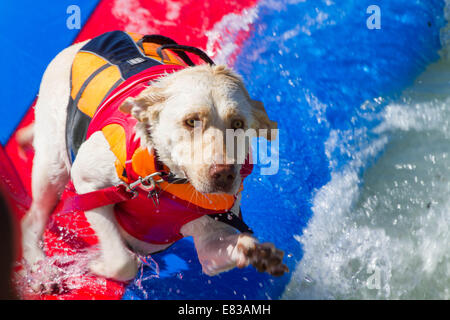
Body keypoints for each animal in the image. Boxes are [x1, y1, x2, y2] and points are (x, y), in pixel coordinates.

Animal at [20, 31, 288, 288]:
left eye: (238, 124)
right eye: (191, 121)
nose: (223, 175)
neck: (166, 177)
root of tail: (80, 44)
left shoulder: (212, 240)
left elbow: (223, 250)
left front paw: (256, 252)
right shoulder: (89, 184)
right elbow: (123, 262)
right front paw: (98, 266)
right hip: (52, 168)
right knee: (32, 220)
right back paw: (43, 273)